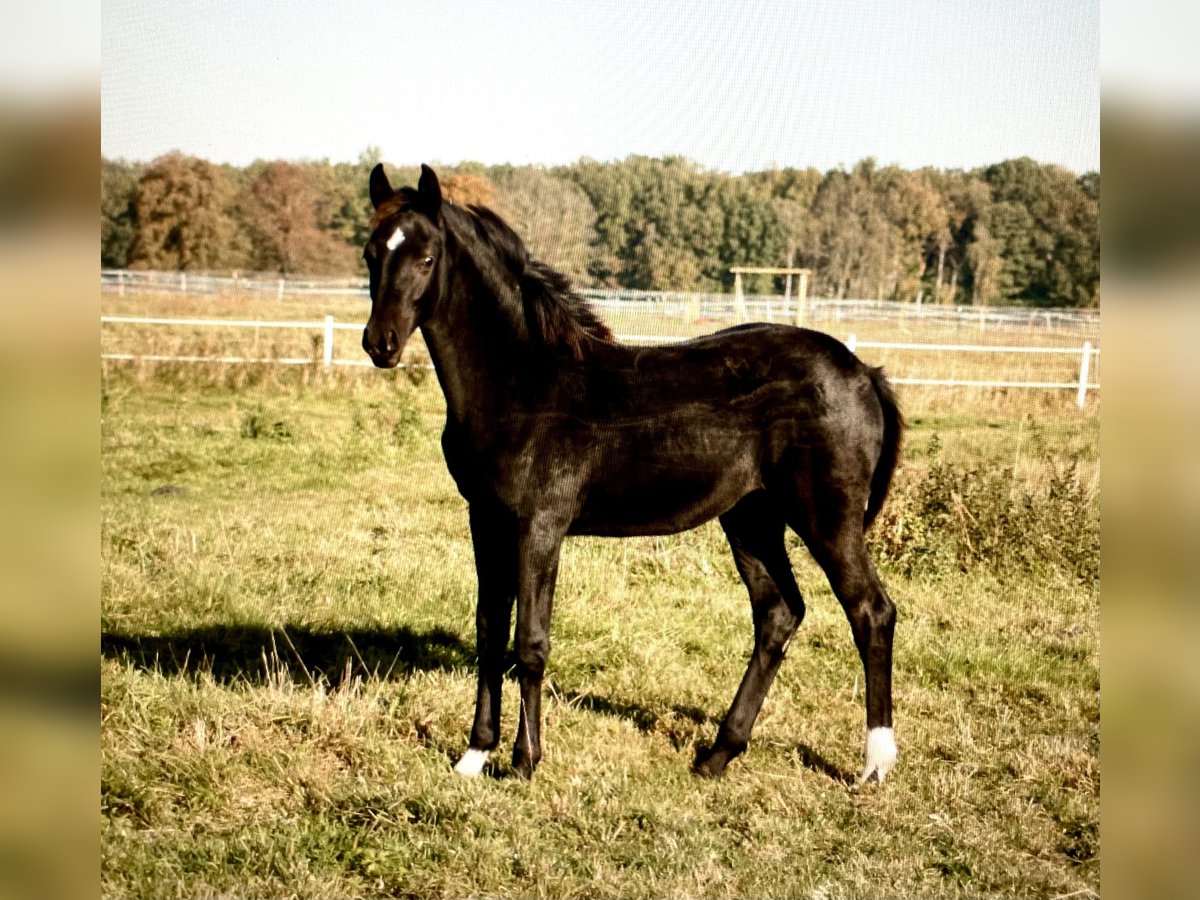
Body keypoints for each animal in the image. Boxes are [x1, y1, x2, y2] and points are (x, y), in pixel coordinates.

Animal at [361, 164, 903, 784]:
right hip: (751, 517)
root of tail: (863, 371)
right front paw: (474, 755)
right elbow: (489, 631)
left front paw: (525, 761)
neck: (522, 381)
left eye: (427, 258)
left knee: (871, 612)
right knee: (779, 614)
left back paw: (875, 764)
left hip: (826, 516)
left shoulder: (539, 525)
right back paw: (717, 754)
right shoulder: (486, 520)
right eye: (371, 254)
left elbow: (530, 641)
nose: (380, 344)